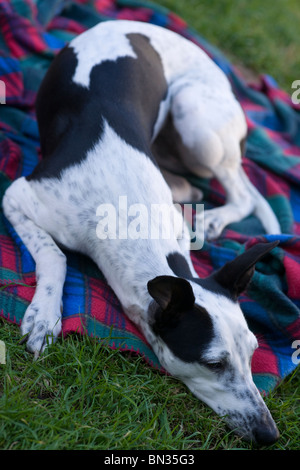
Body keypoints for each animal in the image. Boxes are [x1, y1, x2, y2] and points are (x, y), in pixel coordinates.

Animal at [2, 21, 280, 444]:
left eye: (252, 352)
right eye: (214, 363)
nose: (269, 433)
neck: (130, 211)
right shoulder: (19, 195)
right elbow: (56, 254)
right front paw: (45, 316)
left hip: (195, 120)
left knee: (240, 191)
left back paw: (212, 216)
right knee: (227, 190)